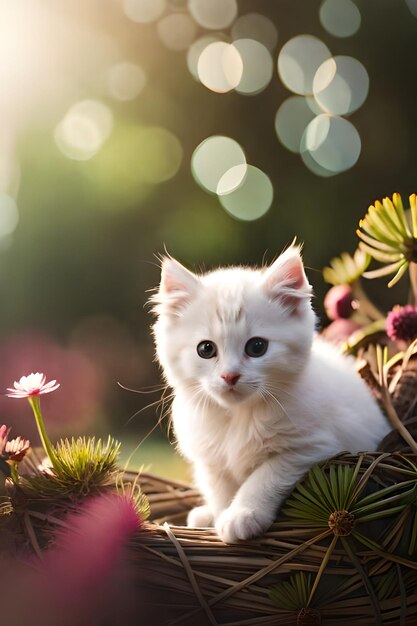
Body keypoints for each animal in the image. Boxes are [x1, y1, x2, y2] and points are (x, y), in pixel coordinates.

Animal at [150, 244, 390, 540]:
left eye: (257, 347)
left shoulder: (311, 447)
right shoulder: (210, 461)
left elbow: (265, 477)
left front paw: (242, 514)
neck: (238, 416)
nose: (230, 375)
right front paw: (221, 516)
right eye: (205, 349)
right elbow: (221, 492)